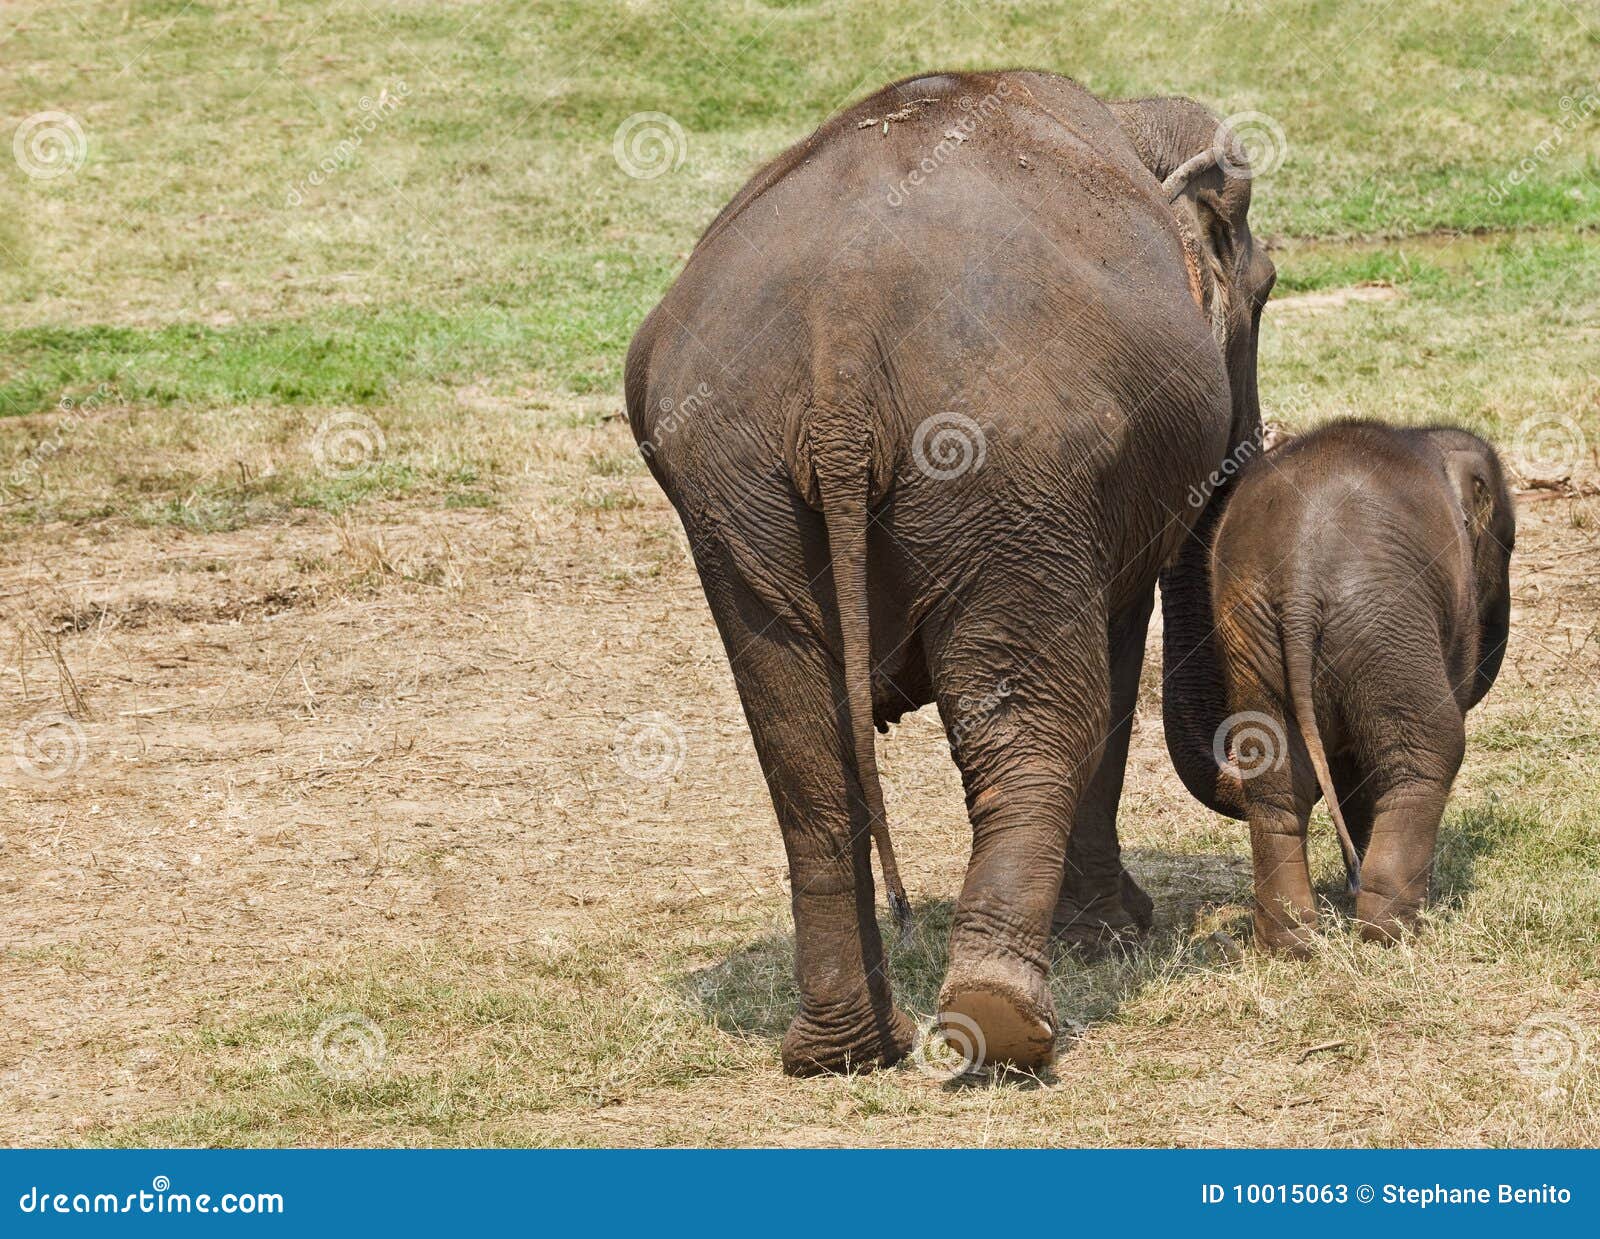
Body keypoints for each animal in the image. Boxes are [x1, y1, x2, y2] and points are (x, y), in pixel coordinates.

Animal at [625, 69, 1276, 1074]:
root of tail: (841, 354)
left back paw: (846, 1048)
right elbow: (1113, 664)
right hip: (1008, 474)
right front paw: (1112, 935)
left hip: (736, 490)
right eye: (1269, 292)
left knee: (801, 745)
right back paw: (1000, 1024)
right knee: (1040, 721)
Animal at [1207, 421, 1515, 953]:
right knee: (1428, 752)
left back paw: (1291, 943)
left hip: (1252, 636)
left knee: (1273, 777)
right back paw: (1393, 932)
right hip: (1385, 624)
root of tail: (1298, 580)